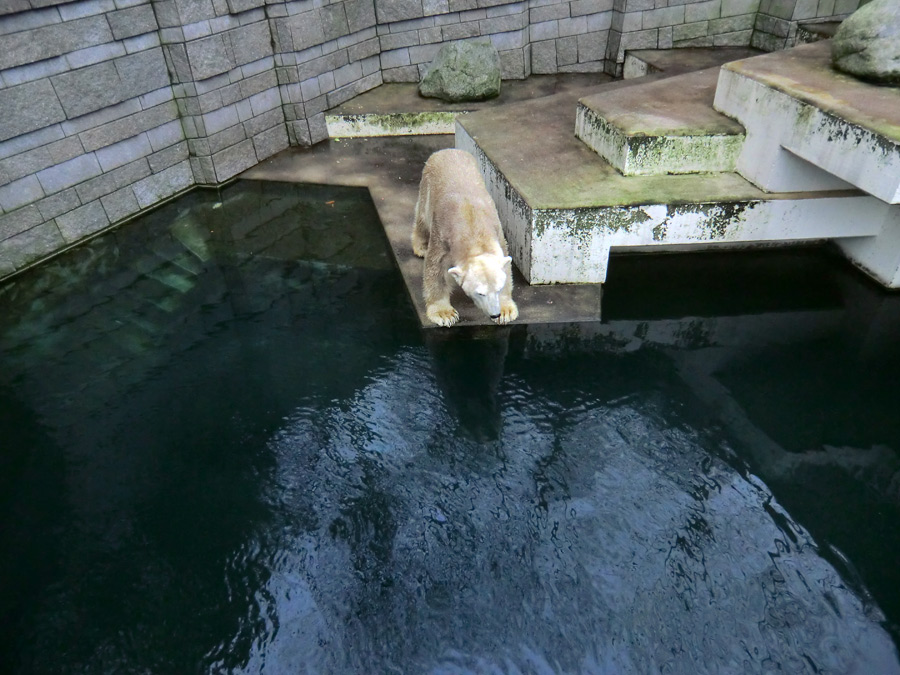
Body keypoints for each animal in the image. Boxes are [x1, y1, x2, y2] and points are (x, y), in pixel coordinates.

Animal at [412, 149, 516, 328]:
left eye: (498, 288)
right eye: (480, 293)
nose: (494, 314)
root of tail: (448, 150)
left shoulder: (497, 232)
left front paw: (505, 311)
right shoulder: (442, 237)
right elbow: (435, 269)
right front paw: (444, 314)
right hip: (427, 185)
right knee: (422, 216)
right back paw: (421, 246)